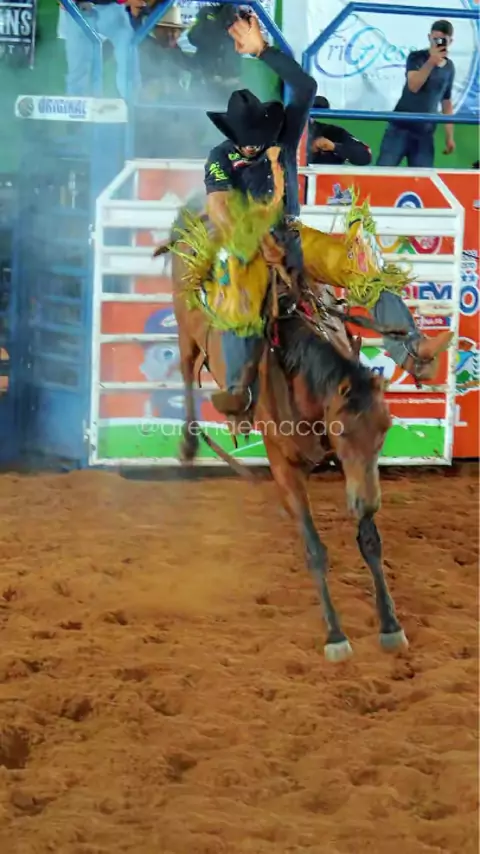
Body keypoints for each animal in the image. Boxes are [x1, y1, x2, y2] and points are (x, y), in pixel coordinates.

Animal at [156, 198, 408, 663]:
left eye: (384, 431)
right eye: (343, 430)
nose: (367, 503)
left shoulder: (358, 473)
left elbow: (370, 541)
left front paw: (390, 625)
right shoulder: (284, 466)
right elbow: (314, 549)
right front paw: (335, 635)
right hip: (185, 328)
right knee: (185, 369)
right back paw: (190, 443)